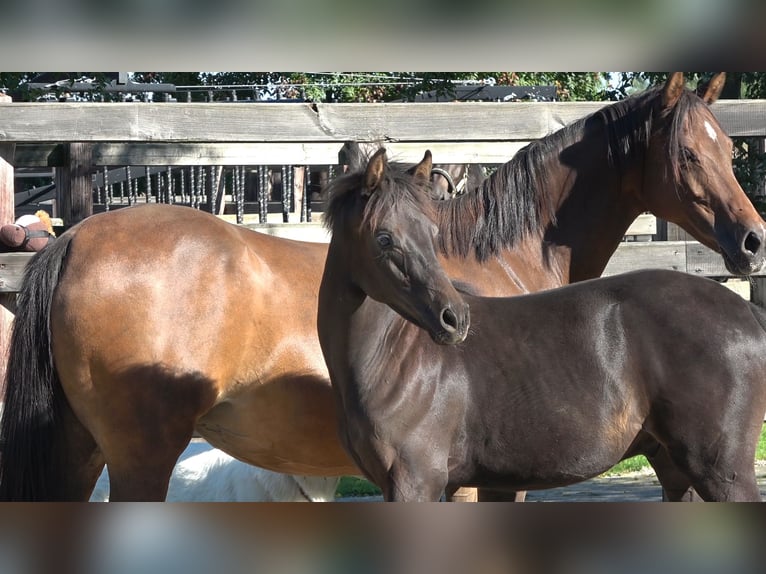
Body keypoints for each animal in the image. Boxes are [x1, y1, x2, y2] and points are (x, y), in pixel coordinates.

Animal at [317, 147, 766, 502]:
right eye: (384, 239)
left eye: (432, 232)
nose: (454, 319)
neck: (396, 359)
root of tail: (748, 312)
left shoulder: (415, 482)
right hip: (675, 469)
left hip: (720, 471)